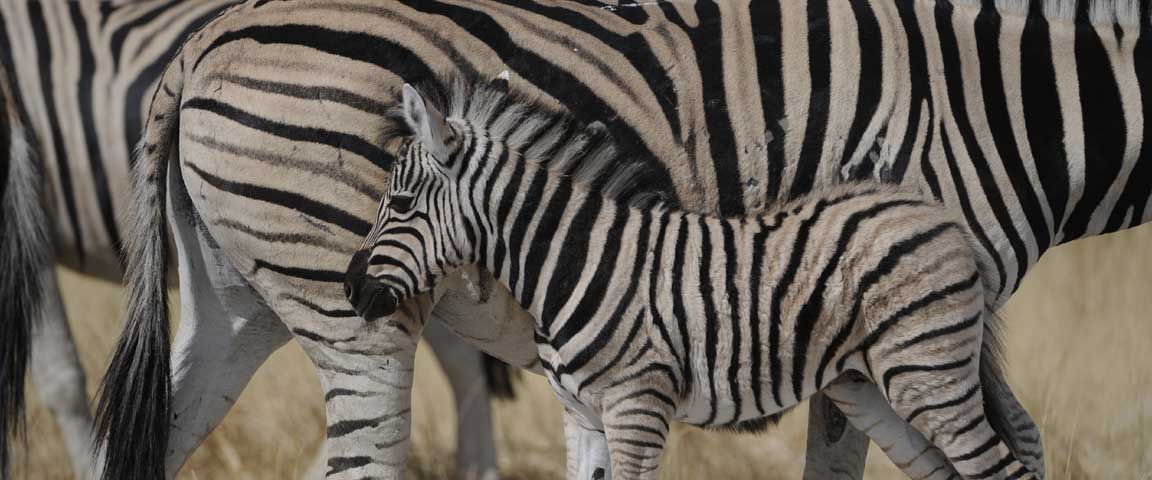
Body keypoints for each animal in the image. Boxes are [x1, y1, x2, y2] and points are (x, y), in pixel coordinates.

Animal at [343, 79, 1046, 478]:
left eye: (398, 204)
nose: (349, 289)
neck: (576, 260)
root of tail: (938, 215)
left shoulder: (637, 409)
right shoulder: (586, 416)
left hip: (930, 377)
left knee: (999, 471)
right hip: (873, 386)